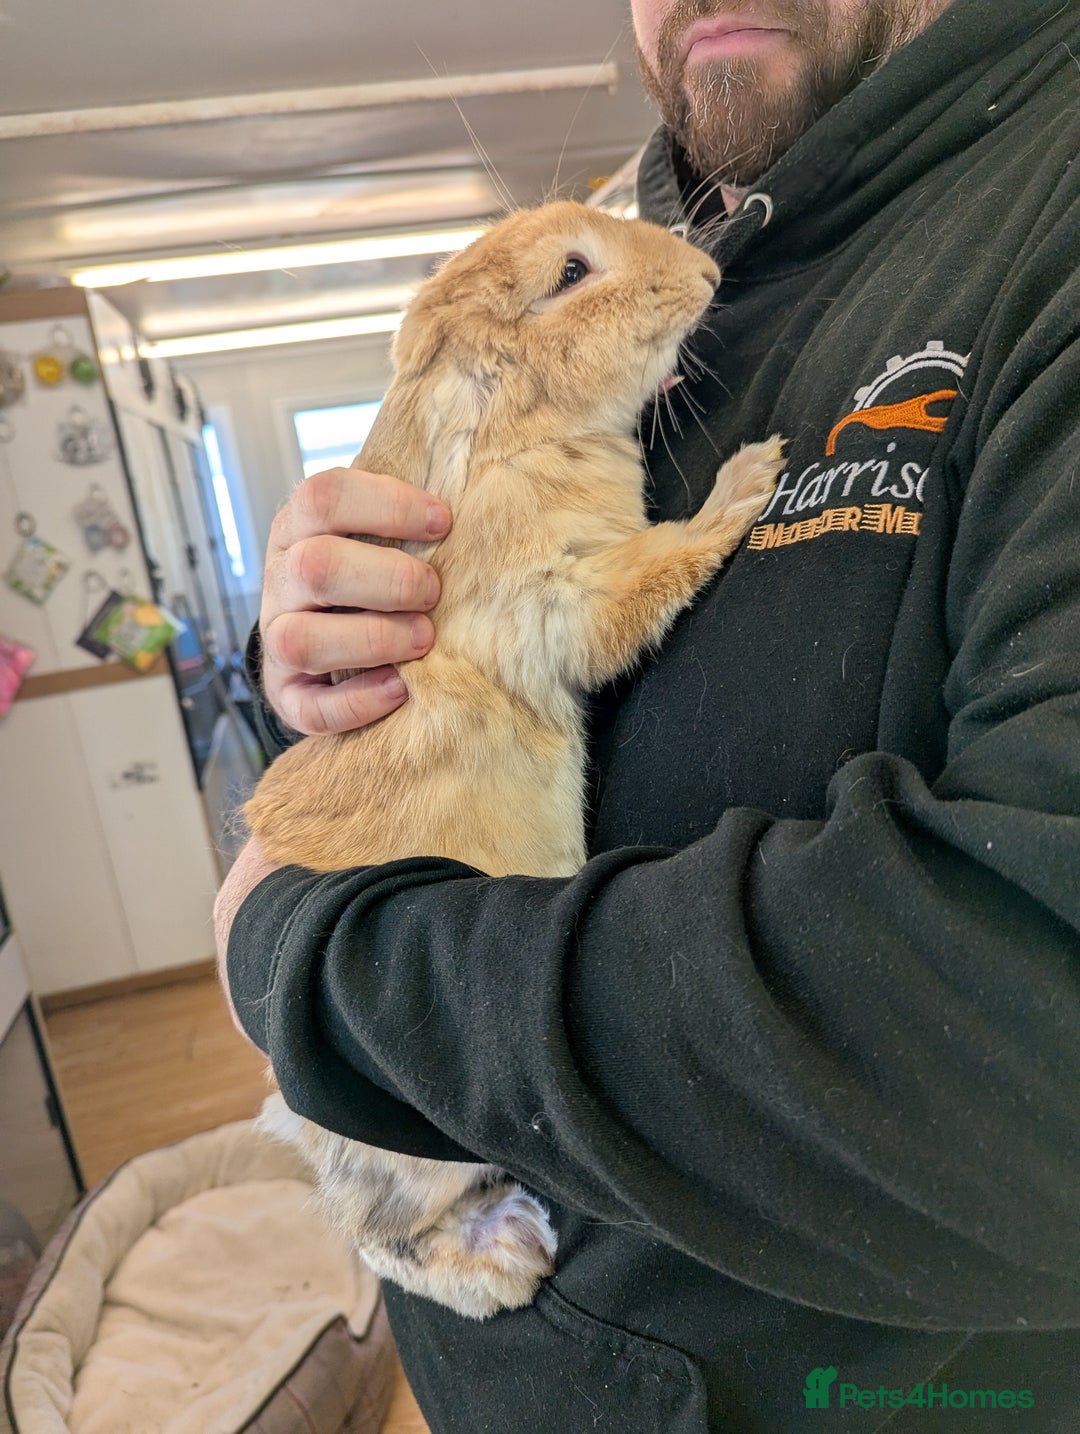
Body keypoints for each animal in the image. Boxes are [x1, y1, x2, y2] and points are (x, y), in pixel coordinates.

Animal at [245, 198, 784, 1320]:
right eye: (571, 273)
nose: (704, 271)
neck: (518, 419)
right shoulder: (564, 592)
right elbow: (660, 564)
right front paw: (752, 476)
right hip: (411, 1170)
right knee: (383, 1240)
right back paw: (507, 1259)